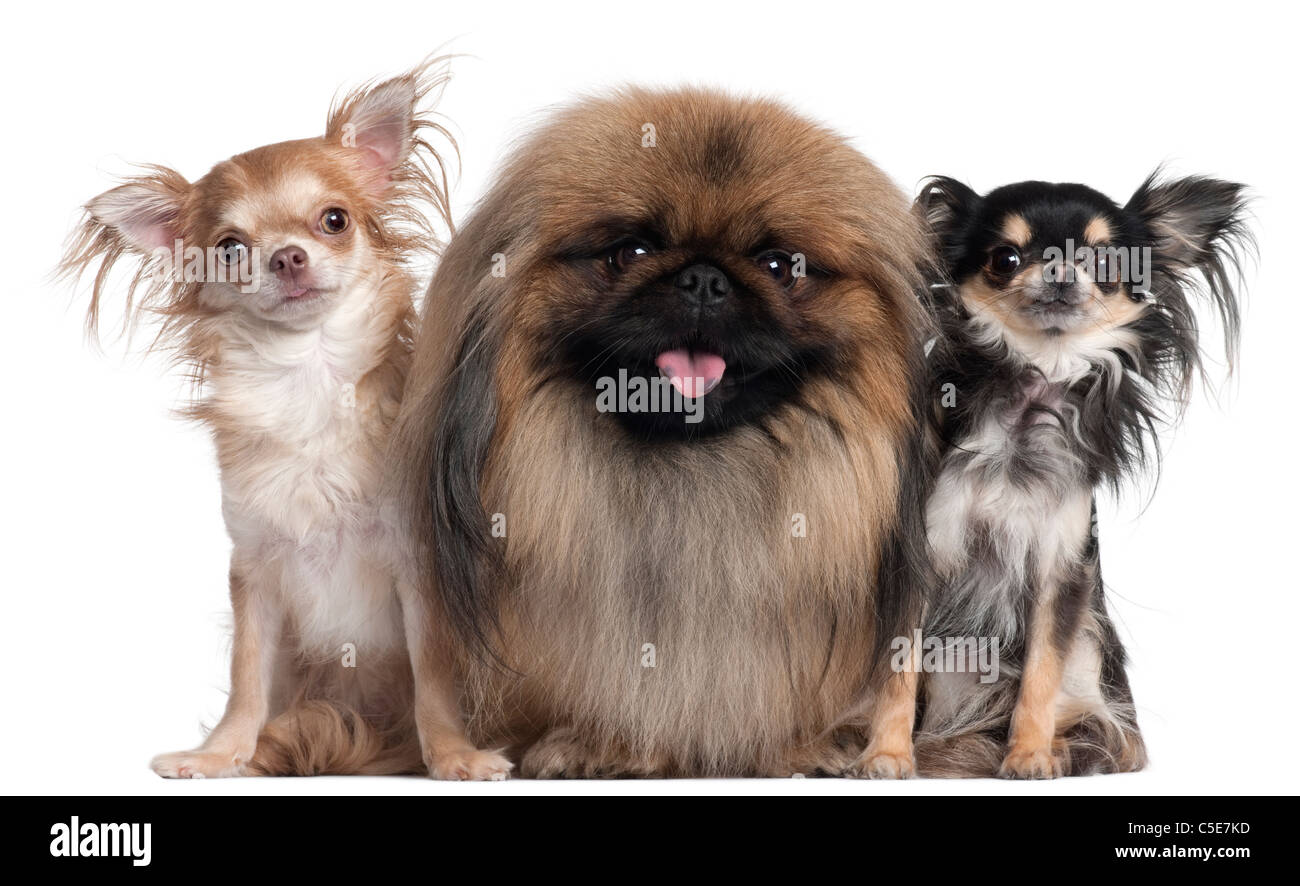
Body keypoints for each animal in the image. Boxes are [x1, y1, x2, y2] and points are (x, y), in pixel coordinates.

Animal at [390, 86, 941, 769]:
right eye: (631, 251)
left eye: (779, 265)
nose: (703, 279)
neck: (691, 472)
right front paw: (596, 742)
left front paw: (801, 746)